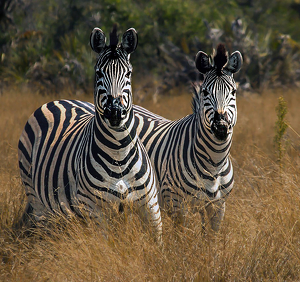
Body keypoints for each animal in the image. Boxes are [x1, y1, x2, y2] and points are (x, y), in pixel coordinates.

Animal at [17, 25, 162, 240]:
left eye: (128, 73)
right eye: (99, 73)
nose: (115, 111)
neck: (119, 151)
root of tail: (57, 100)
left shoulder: (151, 206)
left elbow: (158, 242)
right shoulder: (95, 210)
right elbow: (106, 246)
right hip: (37, 199)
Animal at [135, 43, 243, 230]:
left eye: (233, 92)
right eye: (205, 92)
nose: (221, 127)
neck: (214, 163)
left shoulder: (218, 205)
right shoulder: (177, 204)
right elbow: (182, 236)